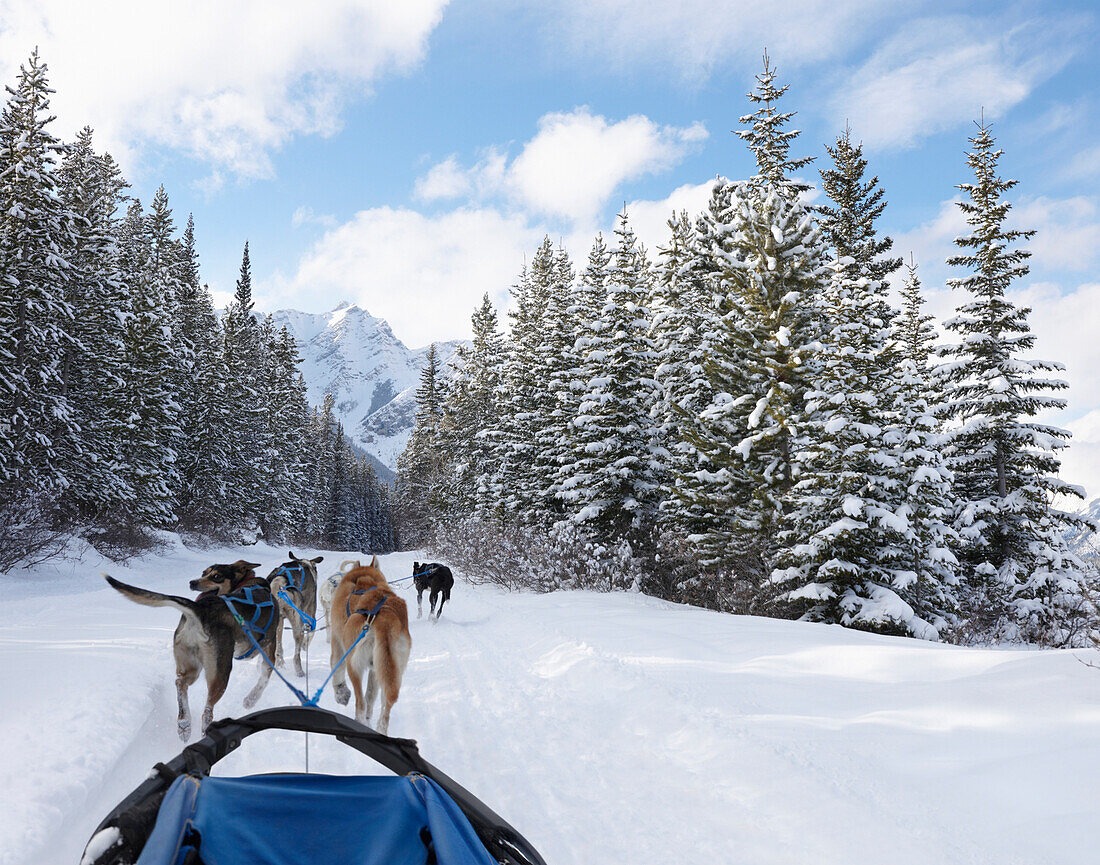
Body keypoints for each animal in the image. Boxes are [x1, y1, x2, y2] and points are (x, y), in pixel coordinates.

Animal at [103, 563, 277, 739]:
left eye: (216, 576)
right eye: (204, 573)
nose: (193, 582)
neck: (249, 583)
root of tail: (200, 609)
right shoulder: (270, 646)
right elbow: (265, 676)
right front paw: (251, 700)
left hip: (190, 664)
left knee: (180, 682)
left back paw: (184, 723)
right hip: (221, 672)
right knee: (207, 710)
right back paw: (206, 730)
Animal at [330, 556, 413, 730]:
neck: (364, 579)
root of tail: (385, 619)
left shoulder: (337, 642)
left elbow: (336, 668)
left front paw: (341, 693)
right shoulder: (375, 669)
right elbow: (371, 695)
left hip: (354, 665)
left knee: (361, 703)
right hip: (391, 671)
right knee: (382, 709)